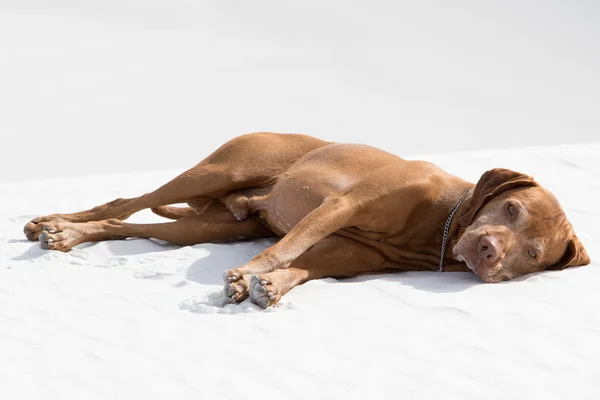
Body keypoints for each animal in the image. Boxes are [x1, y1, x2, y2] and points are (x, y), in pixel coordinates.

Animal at [23, 131, 592, 306]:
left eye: (532, 255)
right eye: (512, 208)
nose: (490, 254)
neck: (440, 221)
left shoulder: (351, 254)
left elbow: (306, 266)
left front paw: (266, 286)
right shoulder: (341, 207)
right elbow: (288, 247)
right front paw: (250, 272)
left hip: (209, 226)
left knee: (128, 226)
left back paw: (72, 234)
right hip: (217, 171)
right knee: (124, 202)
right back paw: (58, 222)